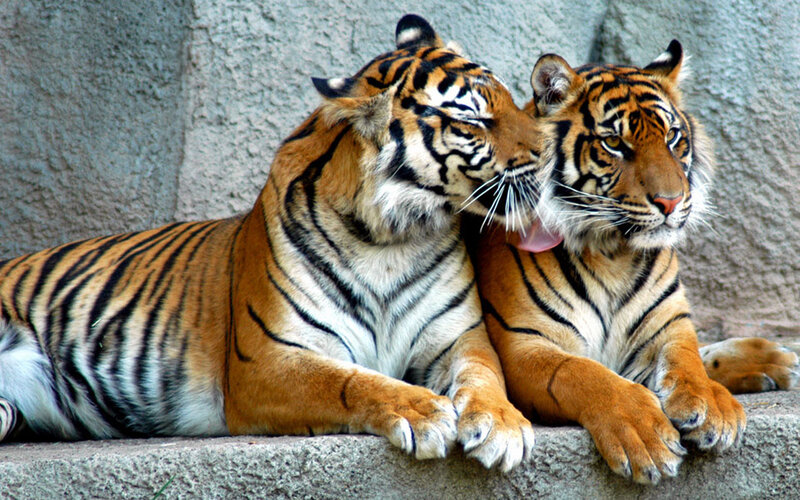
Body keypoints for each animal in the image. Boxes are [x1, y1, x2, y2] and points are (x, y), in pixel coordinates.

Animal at [0, 14, 540, 471]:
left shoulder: (460, 338)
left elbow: (485, 378)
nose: (546, 149)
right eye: (472, 121)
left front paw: (502, 426)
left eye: (510, 98)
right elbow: (347, 380)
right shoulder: (268, 360)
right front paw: (425, 411)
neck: (391, 237)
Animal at [471, 41, 762, 484]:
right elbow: (585, 375)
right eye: (613, 143)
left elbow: (689, 359)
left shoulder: (669, 322)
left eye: (672, 137)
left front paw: (712, 405)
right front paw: (645, 434)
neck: (613, 254)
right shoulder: (523, 344)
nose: (671, 202)